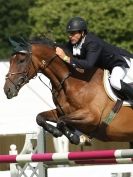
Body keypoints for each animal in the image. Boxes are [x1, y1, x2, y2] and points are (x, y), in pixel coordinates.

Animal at [3, 37, 133, 145]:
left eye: (21, 60)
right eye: (10, 61)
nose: (7, 90)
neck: (73, 81)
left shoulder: (92, 116)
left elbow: (61, 121)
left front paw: (74, 137)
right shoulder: (62, 111)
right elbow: (40, 117)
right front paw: (56, 132)